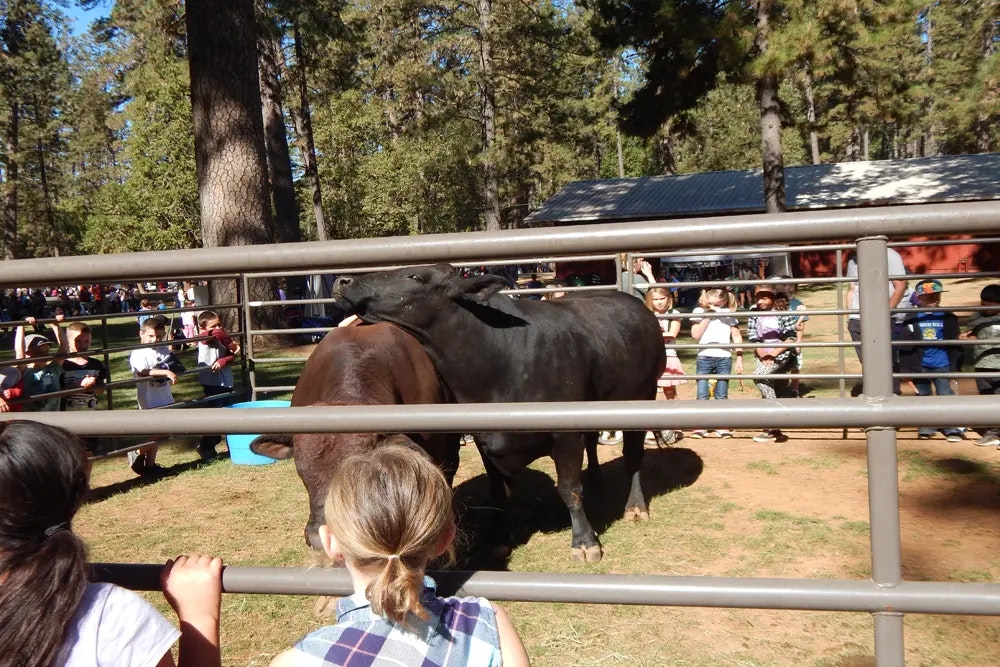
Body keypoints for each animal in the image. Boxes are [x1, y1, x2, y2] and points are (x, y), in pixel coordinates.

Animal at [332, 264, 668, 560]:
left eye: (415, 276)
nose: (343, 280)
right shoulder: (486, 439)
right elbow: (499, 494)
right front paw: (497, 538)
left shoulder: (564, 434)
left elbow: (569, 489)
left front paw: (585, 542)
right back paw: (597, 477)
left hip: (644, 394)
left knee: (633, 455)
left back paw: (635, 507)